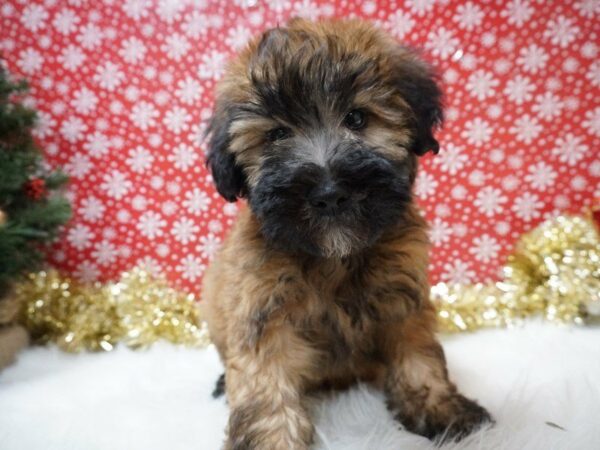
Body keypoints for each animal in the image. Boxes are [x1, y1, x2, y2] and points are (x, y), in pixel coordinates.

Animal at [203, 18, 492, 450]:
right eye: (276, 135)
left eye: (357, 118)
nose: (329, 193)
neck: (333, 258)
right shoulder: (264, 309)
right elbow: (264, 382)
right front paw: (270, 439)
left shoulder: (402, 298)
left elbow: (419, 357)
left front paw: (442, 410)